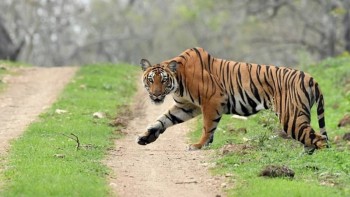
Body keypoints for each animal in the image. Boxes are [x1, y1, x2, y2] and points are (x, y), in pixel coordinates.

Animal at [137, 47, 328, 153]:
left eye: (163, 80)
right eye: (151, 80)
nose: (155, 95)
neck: (178, 81)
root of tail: (312, 78)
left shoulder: (212, 100)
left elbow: (207, 126)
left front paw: (199, 145)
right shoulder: (186, 106)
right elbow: (163, 120)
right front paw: (145, 137)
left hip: (291, 116)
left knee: (320, 139)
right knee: (312, 139)